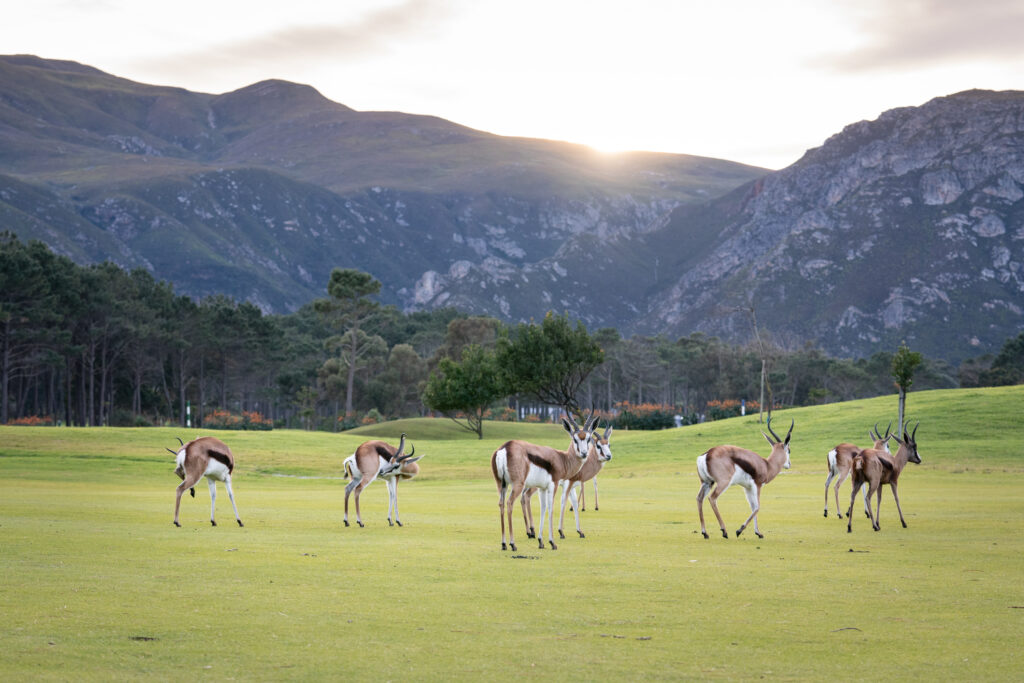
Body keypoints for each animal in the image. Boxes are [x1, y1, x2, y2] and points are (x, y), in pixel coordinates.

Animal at [491, 411, 598, 548]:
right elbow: (551, 508)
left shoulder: (542, 488)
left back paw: (504, 544)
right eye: (575, 439)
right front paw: (552, 542)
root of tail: (505, 448)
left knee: (501, 503)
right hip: (518, 485)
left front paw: (541, 541)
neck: (562, 459)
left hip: (501, 484)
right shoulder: (554, 484)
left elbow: (543, 508)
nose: (584, 453)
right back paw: (512, 544)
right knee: (509, 503)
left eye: (588, 438)